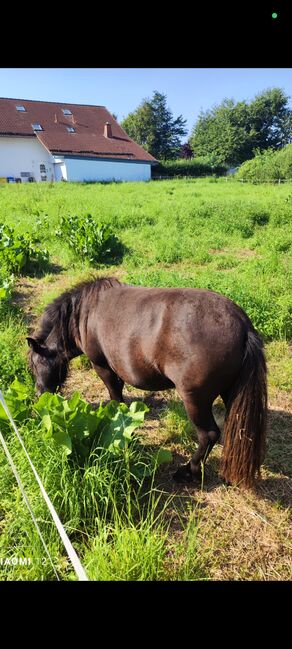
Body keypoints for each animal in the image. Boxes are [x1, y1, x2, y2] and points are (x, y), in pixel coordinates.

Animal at [27, 278, 266, 486]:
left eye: (35, 365)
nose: (39, 396)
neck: (83, 313)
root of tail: (243, 326)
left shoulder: (102, 367)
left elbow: (115, 395)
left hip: (195, 399)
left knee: (209, 435)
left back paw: (188, 472)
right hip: (229, 394)